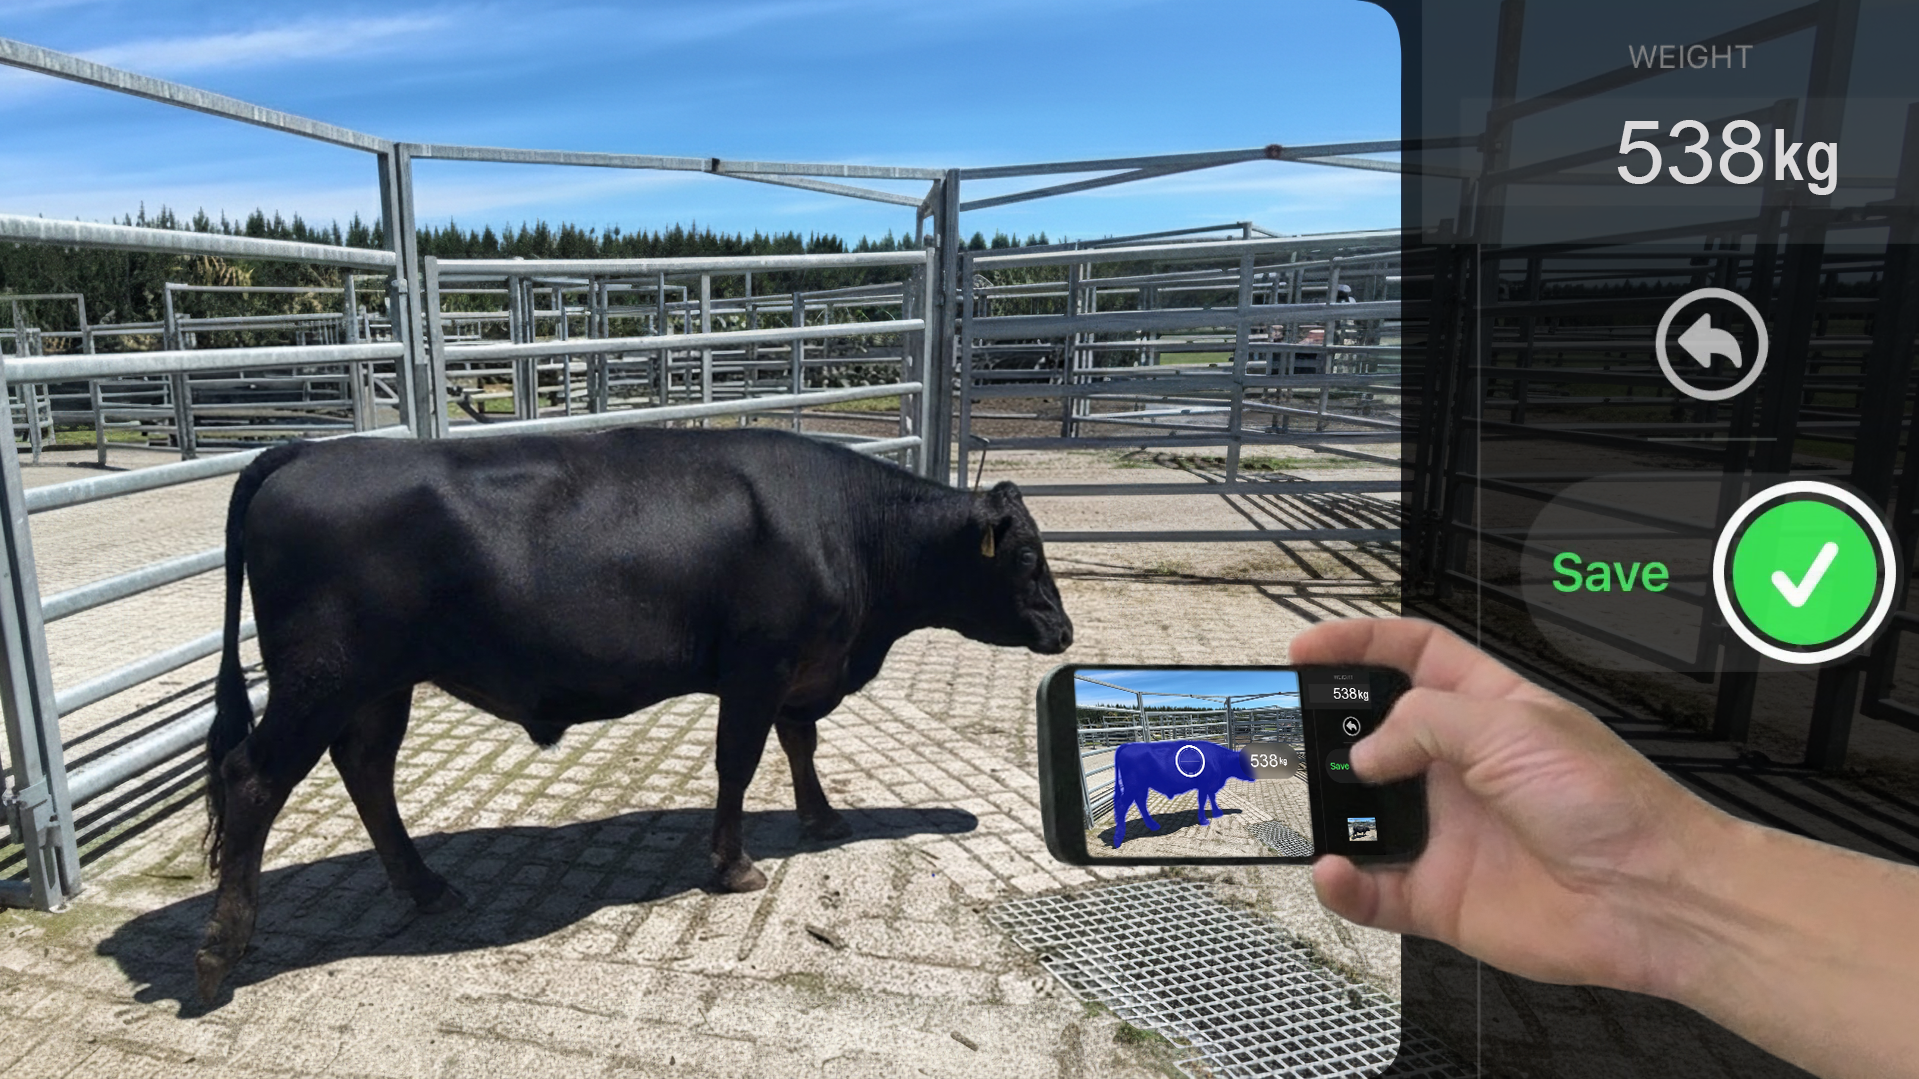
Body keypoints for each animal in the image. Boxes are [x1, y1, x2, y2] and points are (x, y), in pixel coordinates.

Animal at [194, 426, 1072, 1001]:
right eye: (1027, 557)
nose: (1064, 631)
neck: (848, 528)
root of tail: (306, 450)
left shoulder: (801, 669)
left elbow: (801, 740)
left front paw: (821, 819)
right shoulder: (757, 665)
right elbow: (738, 760)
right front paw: (733, 863)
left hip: (379, 684)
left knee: (367, 769)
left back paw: (426, 886)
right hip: (323, 681)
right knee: (253, 779)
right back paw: (223, 950)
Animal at [1109, 740, 1254, 847]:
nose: (1254, 777)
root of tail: (1128, 746)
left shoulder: (1210, 785)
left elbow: (1212, 797)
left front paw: (1217, 812)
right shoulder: (1204, 784)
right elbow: (1203, 800)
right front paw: (1204, 820)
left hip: (1142, 787)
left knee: (1140, 802)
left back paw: (1153, 825)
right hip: (1133, 786)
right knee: (1122, 805)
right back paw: (1118, 839)